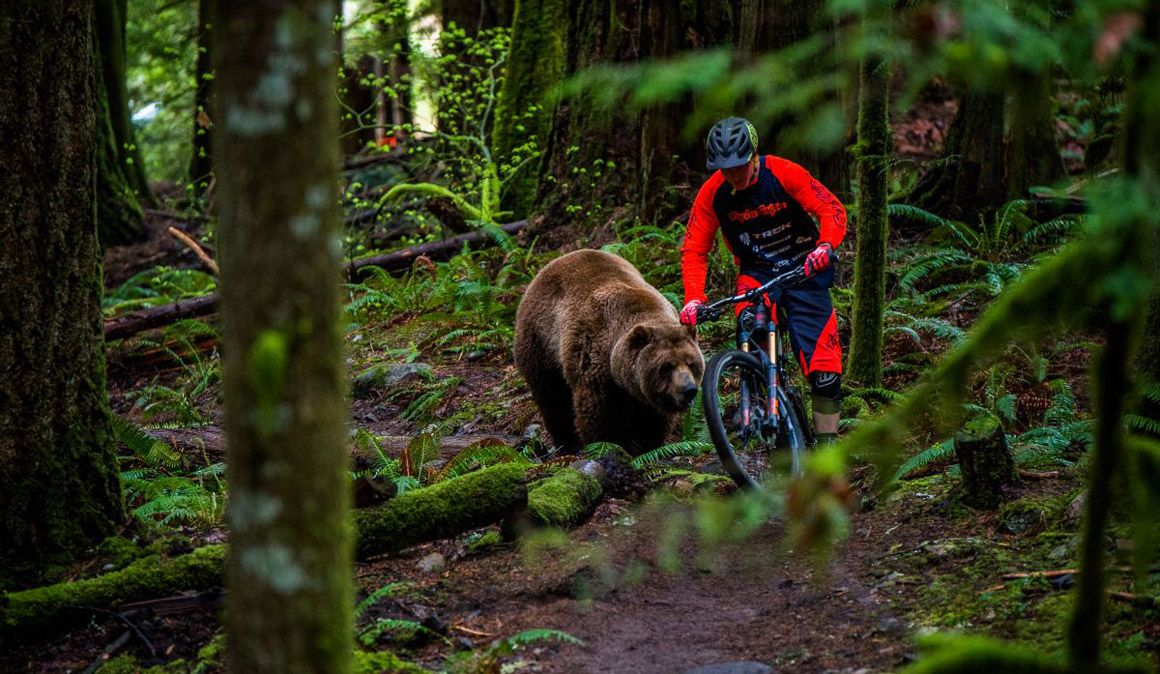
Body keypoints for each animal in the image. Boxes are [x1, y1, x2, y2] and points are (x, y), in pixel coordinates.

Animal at [517, 249, 705, 454]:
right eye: (666, 366)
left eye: (692, 364)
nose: (689, 390)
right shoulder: (594, 359)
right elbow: (598, 415)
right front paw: (612, 444)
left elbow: (653, 417)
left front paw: (647, 442)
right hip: (541, 343)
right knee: (552, 398)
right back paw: (567, 442)